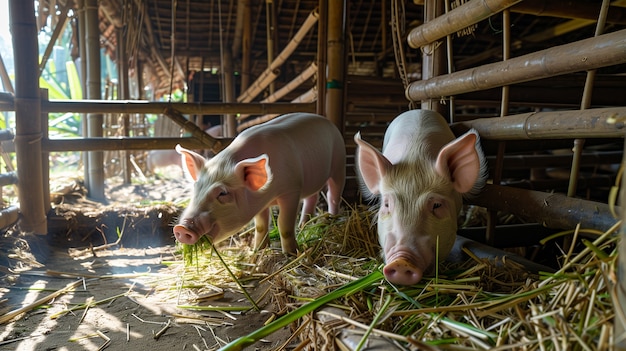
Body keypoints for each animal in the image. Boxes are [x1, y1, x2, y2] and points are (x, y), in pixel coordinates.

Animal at [173, 114, 344, 254]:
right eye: (195, 188)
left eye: (222, 193)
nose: (182, 228)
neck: (268, 195)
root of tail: (328, 121)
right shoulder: (260, 203)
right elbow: (260, 226)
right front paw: (258, 250)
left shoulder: (291, 190)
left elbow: (284, 225)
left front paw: (291, 253)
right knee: (312, 197)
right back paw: (303, 225)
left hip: (338, 162)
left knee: (333, 193)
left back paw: (333, 218)